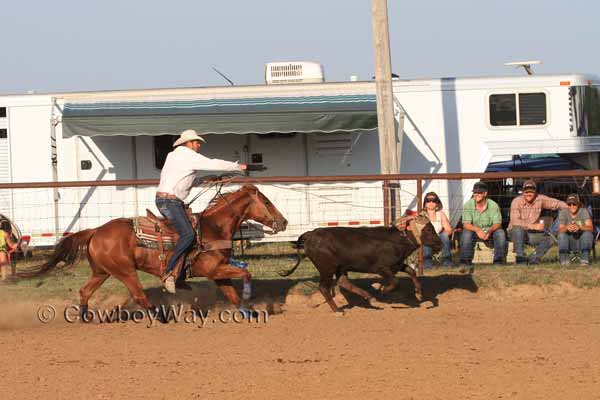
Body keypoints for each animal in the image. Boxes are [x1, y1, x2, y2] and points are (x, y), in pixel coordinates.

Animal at [21, 184, 288, 318]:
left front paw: (250, 313)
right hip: (125, 271)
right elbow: (245, 274)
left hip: (101, 271)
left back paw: (85, 318)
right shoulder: (214, 270)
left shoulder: (218, 272)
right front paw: (253, 301)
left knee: (85, 291)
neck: (213, 228)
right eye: (266, 201)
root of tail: (96, 230)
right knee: (139, 296)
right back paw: (162, 316)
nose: (283, 222)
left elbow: (232, 294)